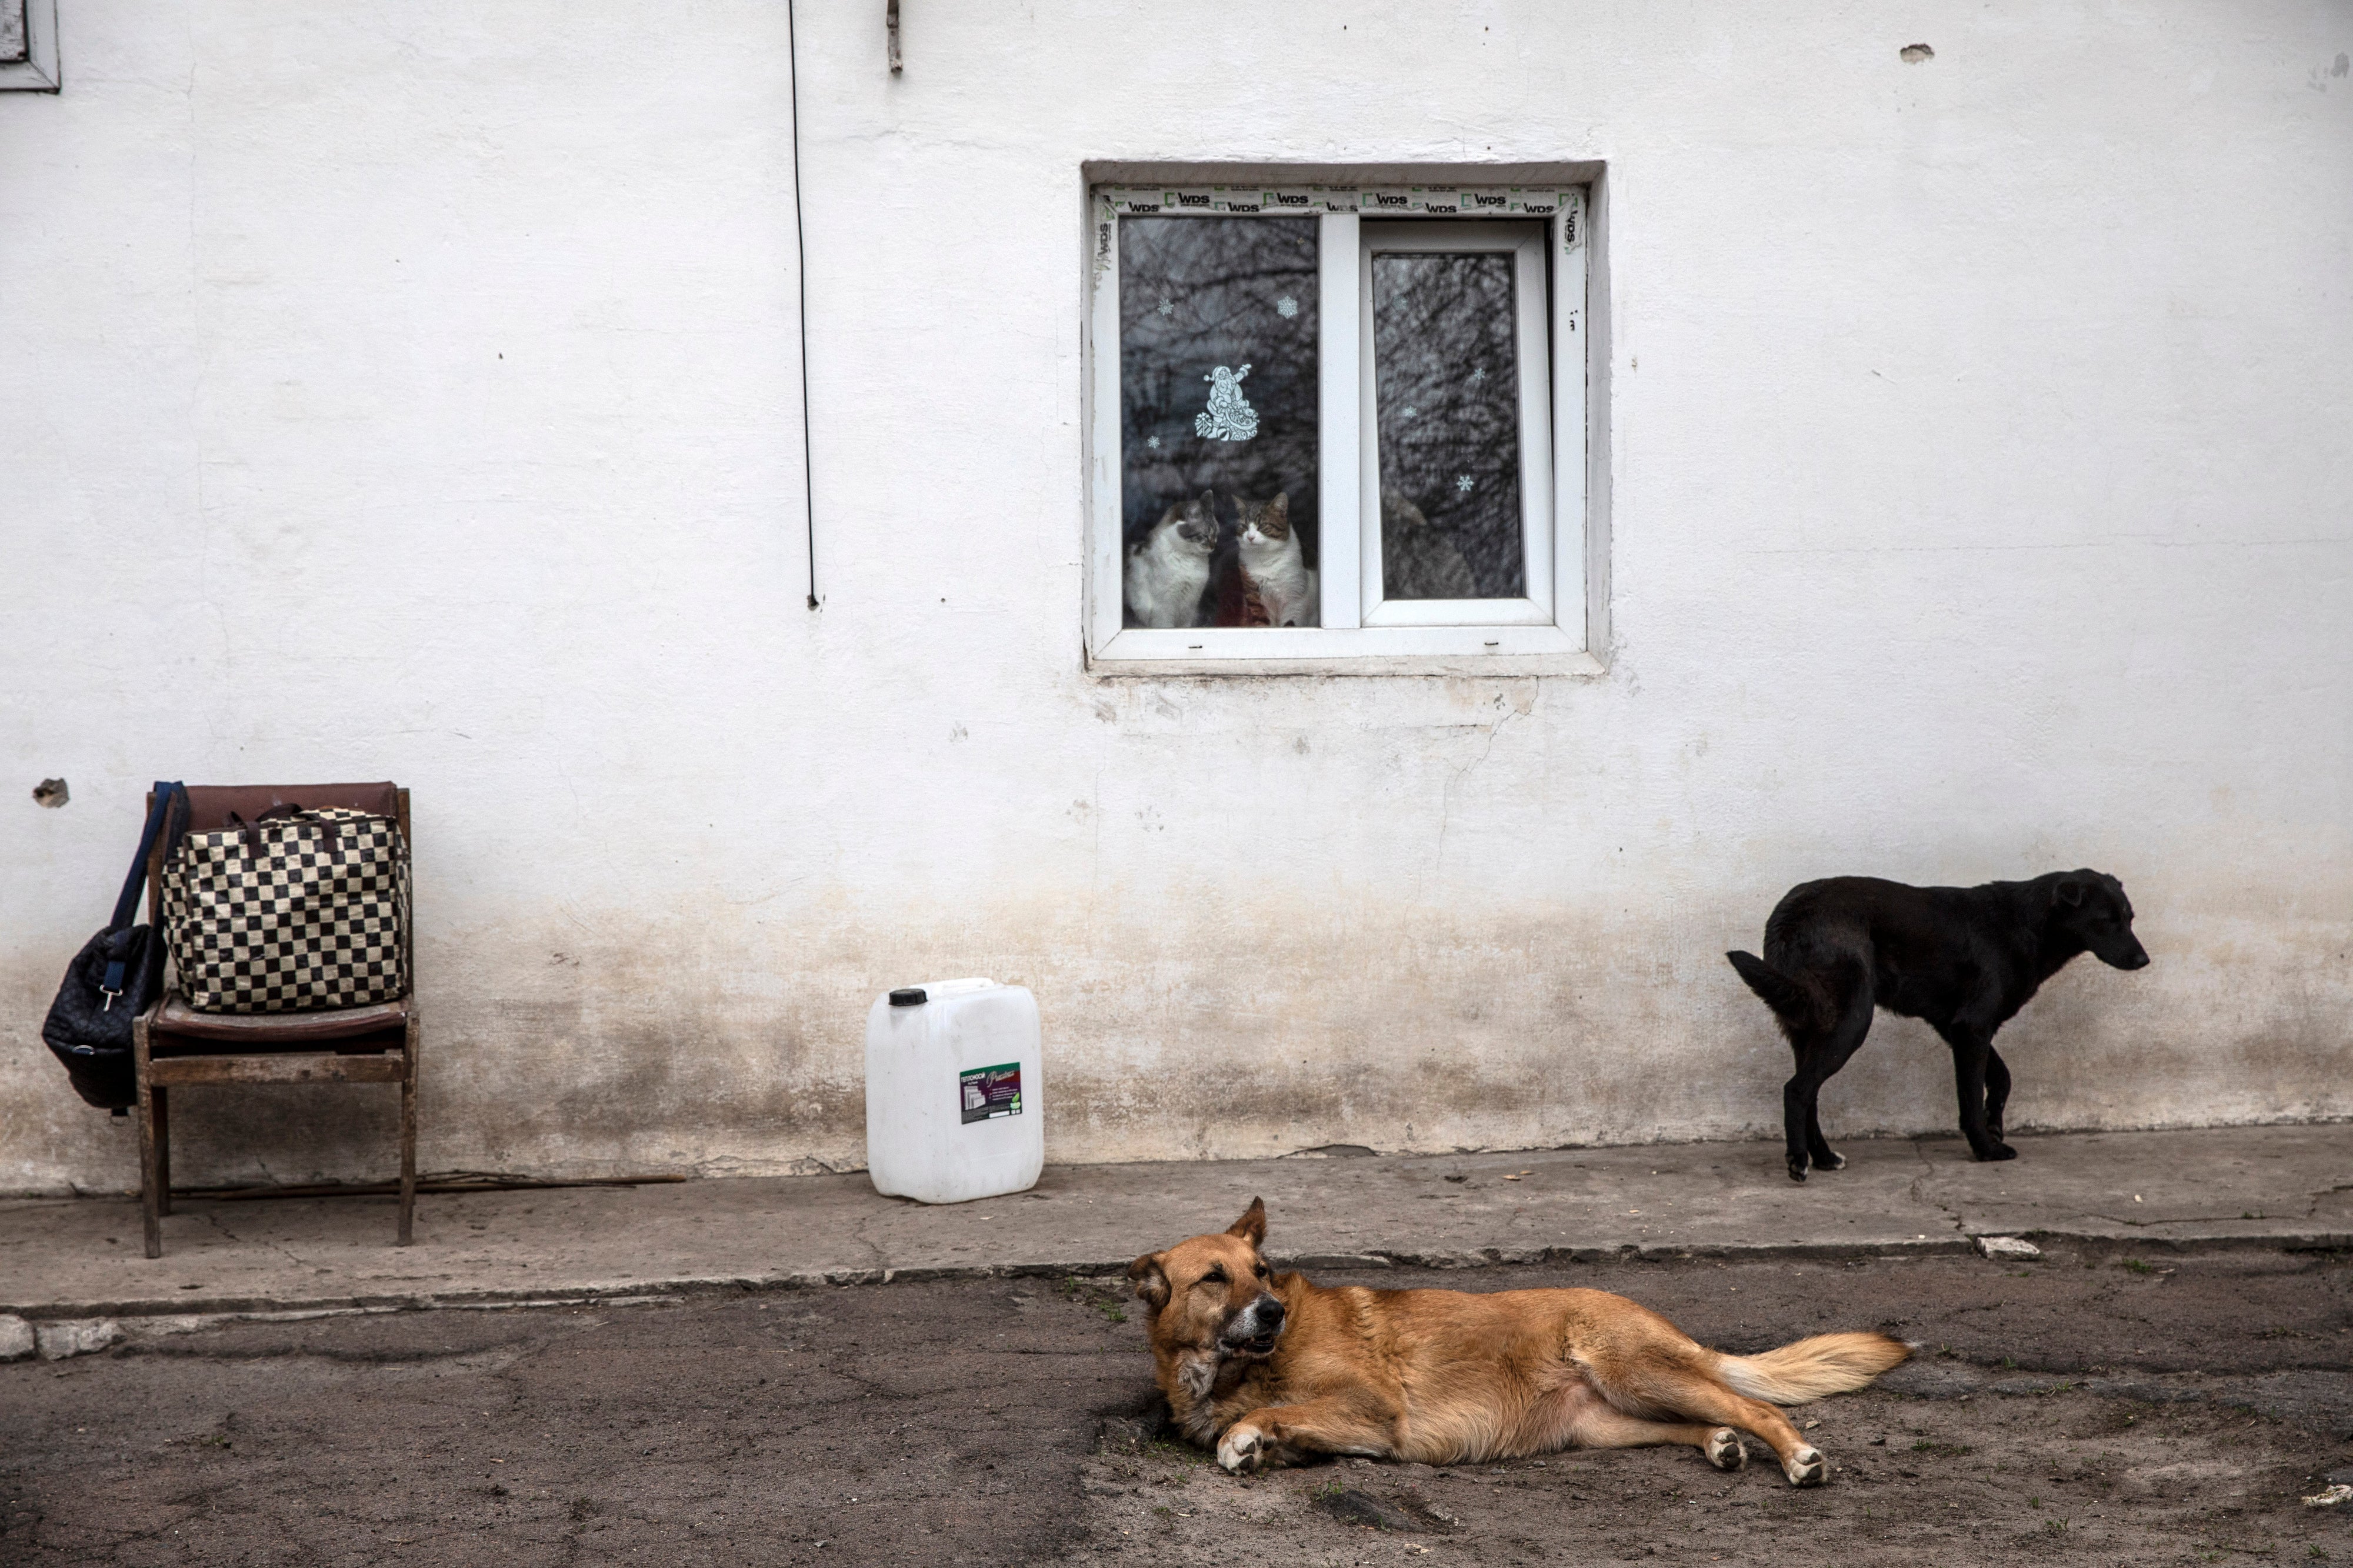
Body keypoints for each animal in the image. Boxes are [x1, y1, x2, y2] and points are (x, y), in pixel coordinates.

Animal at [1125, 494, 1224, 630]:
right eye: (1205, 535)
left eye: (1216, 535)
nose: (1214, 547)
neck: (1190, 560)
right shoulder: (1165, 608)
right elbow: (1166, 624)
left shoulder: (1189, 608)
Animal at [1129, 1196, 1920, 1478]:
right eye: (1213, 1277)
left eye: (1261, 1271)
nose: (1271, 1311)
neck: (1232, 1366)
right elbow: (1278, 1423)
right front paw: (1254, 1443)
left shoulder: (1374, 1411)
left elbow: (1272, 1412)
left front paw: (1246, 1435)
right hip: (1604, 1421)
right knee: (1700, 1422)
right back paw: (1719, 1446)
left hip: (1639, 1373)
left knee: (1758, 1407)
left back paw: (1797, 1457)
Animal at [1242, 494, 1318, 630]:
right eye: (1244, 527)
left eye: (1262, 526)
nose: (1250, 537)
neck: (1265, 558)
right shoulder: (1256, 598)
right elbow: (1262, 623)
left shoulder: (1294, 598)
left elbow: (1290, 622)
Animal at [1732, 866, 2155, 1172]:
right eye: (2106, 920)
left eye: (2130, 918)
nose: (2143, 960)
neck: (2027, 924)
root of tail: (1788, 916)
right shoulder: (1972, 1026)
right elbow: (1970, 1095)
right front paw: (1986, 1147)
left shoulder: (1956, 1027)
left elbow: (2002, 1076)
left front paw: (1995, 1121)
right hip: (1851, 1021)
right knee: (1797, 1090)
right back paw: (1799, 1161)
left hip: (1810, 1027)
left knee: (1811, 1093)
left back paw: (1823, 1158)